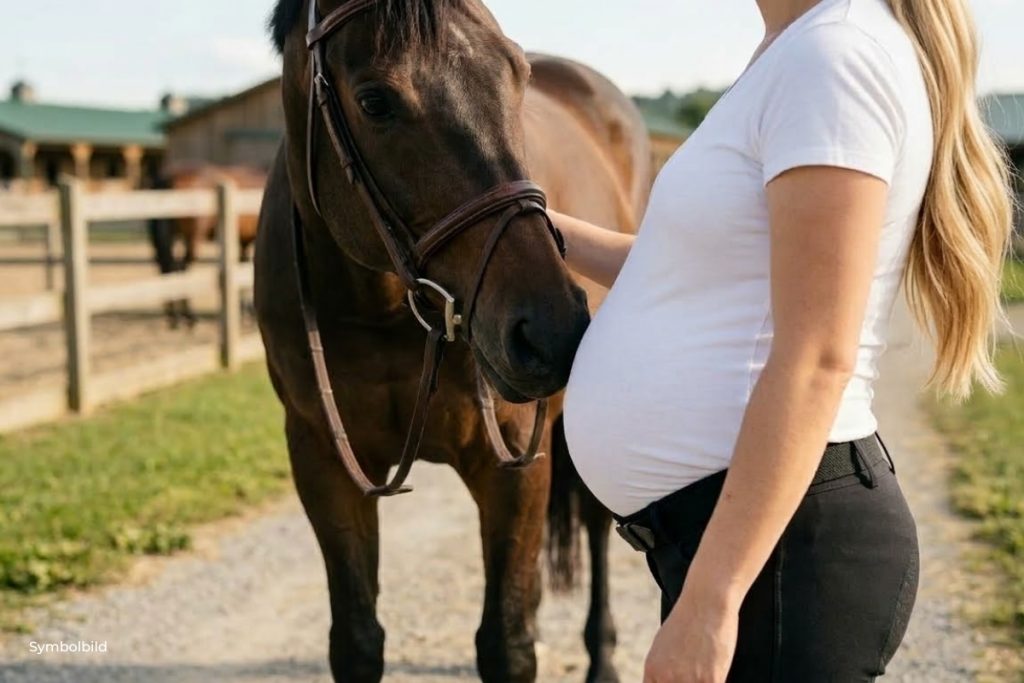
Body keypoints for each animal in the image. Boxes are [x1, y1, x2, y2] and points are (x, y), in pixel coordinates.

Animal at [148, 164, 266, 327]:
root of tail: (168, 178)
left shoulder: (244, 241)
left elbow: (242, 266)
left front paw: (244, 311)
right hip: (193, 238)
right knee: (182, 268)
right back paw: (188, 316)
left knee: (167, 267)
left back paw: (174, 317)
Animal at [253, 1, 651, 681]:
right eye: (376, 101)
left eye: (516, 74)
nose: (552, 329)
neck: (384, 309)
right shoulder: (321, 460)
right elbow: (357, 640)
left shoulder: (513, 465)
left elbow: (506, 644)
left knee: (598, 525)